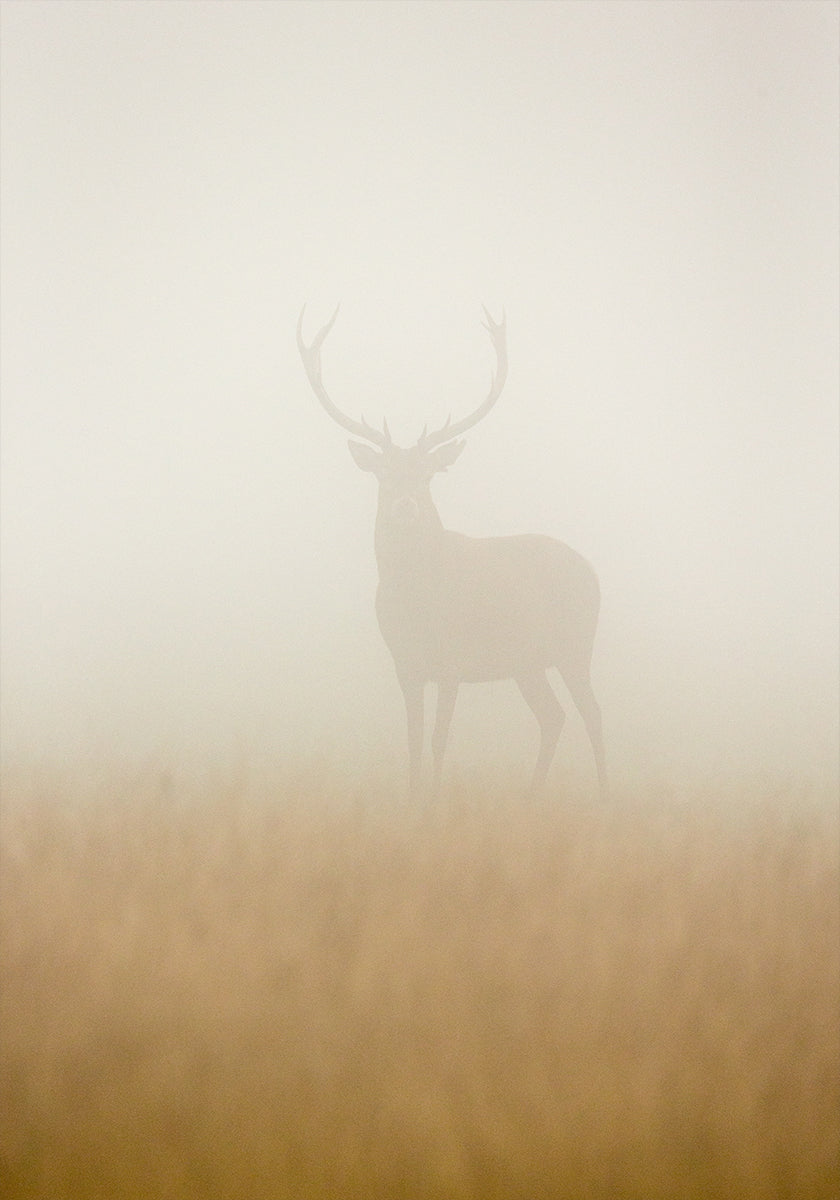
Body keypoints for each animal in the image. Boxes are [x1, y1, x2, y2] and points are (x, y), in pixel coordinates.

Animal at [296, 305, 608, 801]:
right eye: (383, 474)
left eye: (427, 475)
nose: (406, 505)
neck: (415, 601)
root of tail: (592, 571)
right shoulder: (405, 664)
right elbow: (413, 738)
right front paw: (411, 799)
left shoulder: (452, 661)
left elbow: (440, 739)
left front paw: (434, 802)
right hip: (526, 661)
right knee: (553, 716)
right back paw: (531, 796)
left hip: (577, 642)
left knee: (592, 713)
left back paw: (604, 794)